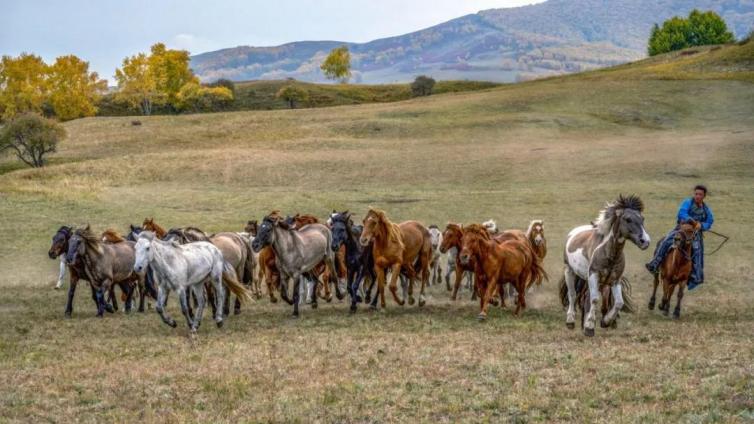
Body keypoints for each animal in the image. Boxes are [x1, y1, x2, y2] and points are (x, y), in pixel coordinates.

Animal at [560, 195, 648, 338]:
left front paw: (605, 321)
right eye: (628, 219)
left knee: (586, 298)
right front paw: (590, 327)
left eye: (642, 219)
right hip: (570, 271)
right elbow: (595, 299)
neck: (609, 252)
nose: (645, 241)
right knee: (572, 295)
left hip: (594, 281)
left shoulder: (614, 280)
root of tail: (573, 232)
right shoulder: (594, 274)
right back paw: (570, 321)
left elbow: (618, 302)